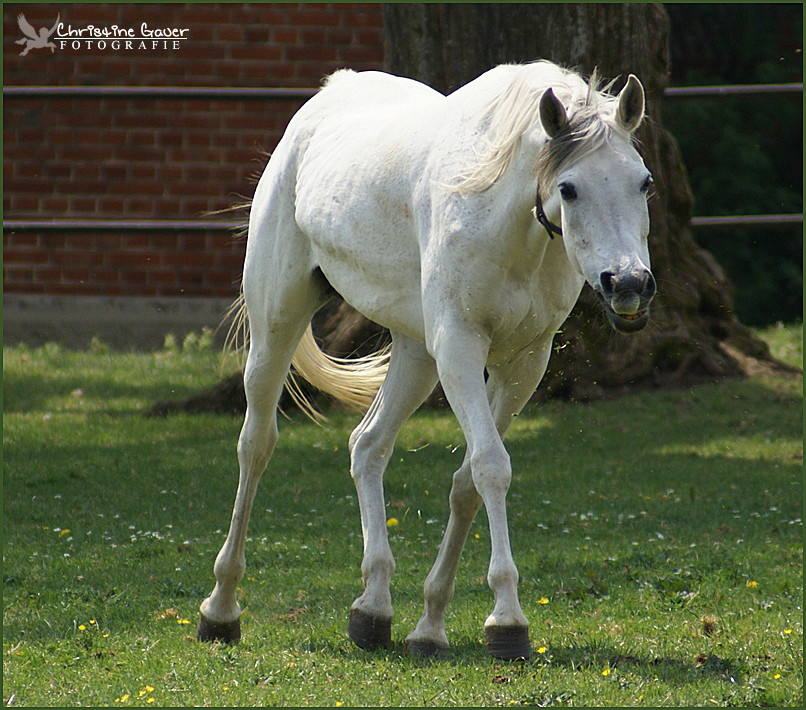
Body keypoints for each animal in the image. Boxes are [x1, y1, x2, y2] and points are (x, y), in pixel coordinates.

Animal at [199, 61, 660, 660]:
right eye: (569, 187)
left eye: (644, 182)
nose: (628, 285)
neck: (507, 220)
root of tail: (330, 94)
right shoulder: (460, 348)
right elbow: (491, 468)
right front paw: (507, 620)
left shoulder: (523, 364)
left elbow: (467, 480)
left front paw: (431, 624)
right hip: (278, 322)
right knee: (256, 444)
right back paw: (221, 609)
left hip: (416, 355)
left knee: (367, 446)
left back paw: (372, 610)